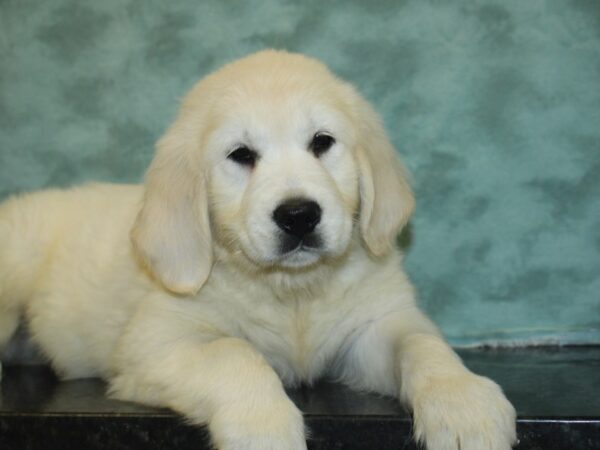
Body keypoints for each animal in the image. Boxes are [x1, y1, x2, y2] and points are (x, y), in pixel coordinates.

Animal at [0, 50, 516, 450]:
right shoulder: (152, 345)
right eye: (241, 155)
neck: (292, 292)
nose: (299, 215)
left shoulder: (371, 327)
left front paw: (464, 402)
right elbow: (234, 352)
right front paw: (263, 427)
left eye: (322, 142)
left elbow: (421, 343)